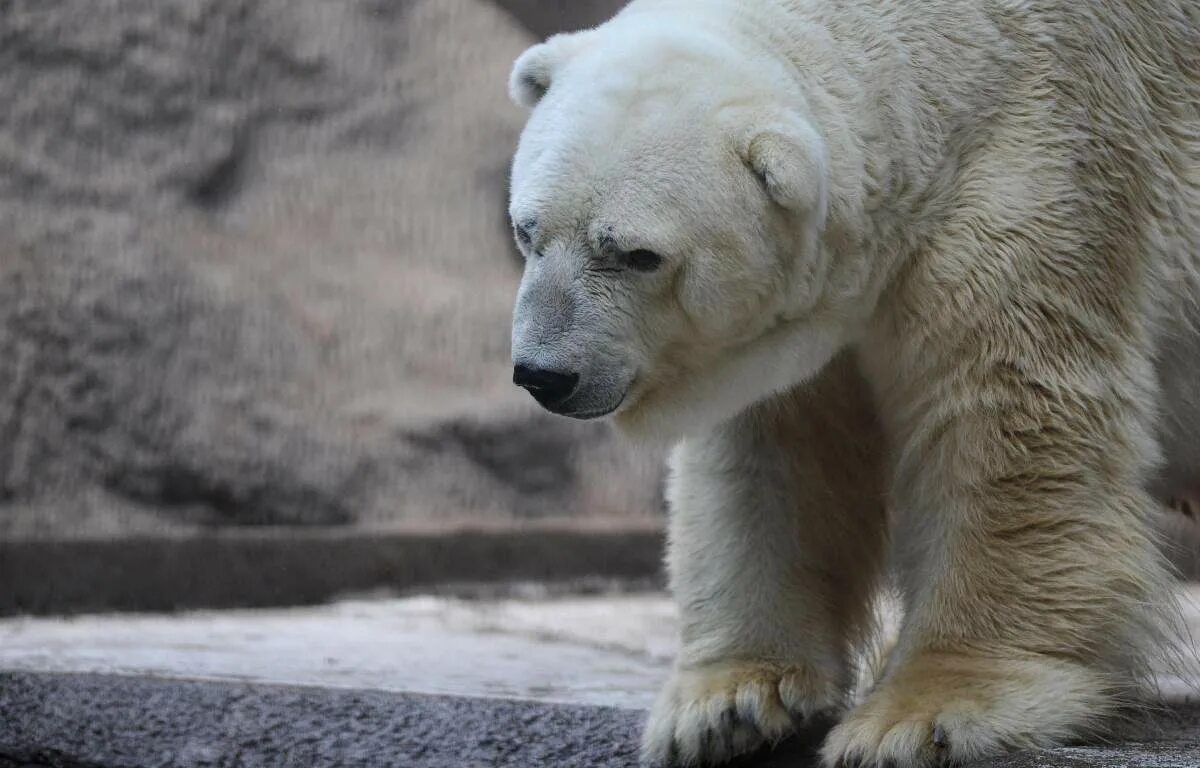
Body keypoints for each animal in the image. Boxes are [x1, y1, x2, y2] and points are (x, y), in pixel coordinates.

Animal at [501, 1, 1195, 768]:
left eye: (637, 254)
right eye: (527, 230)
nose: (544, 374)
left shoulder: (1042, 172)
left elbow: (1005, 417)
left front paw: (924, 714)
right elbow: (776, 451)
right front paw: (726, 705)